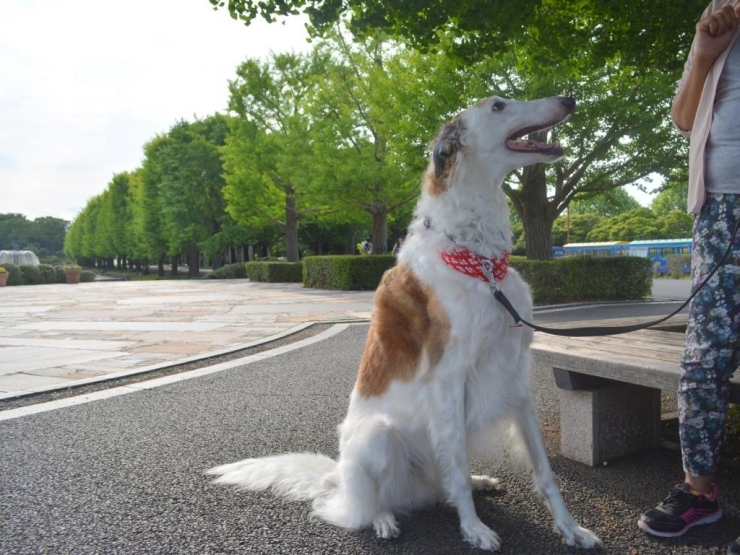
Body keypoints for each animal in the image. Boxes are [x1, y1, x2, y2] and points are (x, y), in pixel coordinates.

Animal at [207, 95, 600, 552]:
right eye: (499, 105)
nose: (569, 99)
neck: (481, 261)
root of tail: (338, 479)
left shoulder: (515, 377)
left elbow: (545, 473)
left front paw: (571, 529)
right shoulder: (449, 378)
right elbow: (458, 469)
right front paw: (474, 530)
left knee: (446, 482)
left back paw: (477, 482)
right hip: (376, 436)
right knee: (371, 502)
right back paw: (383, 519)